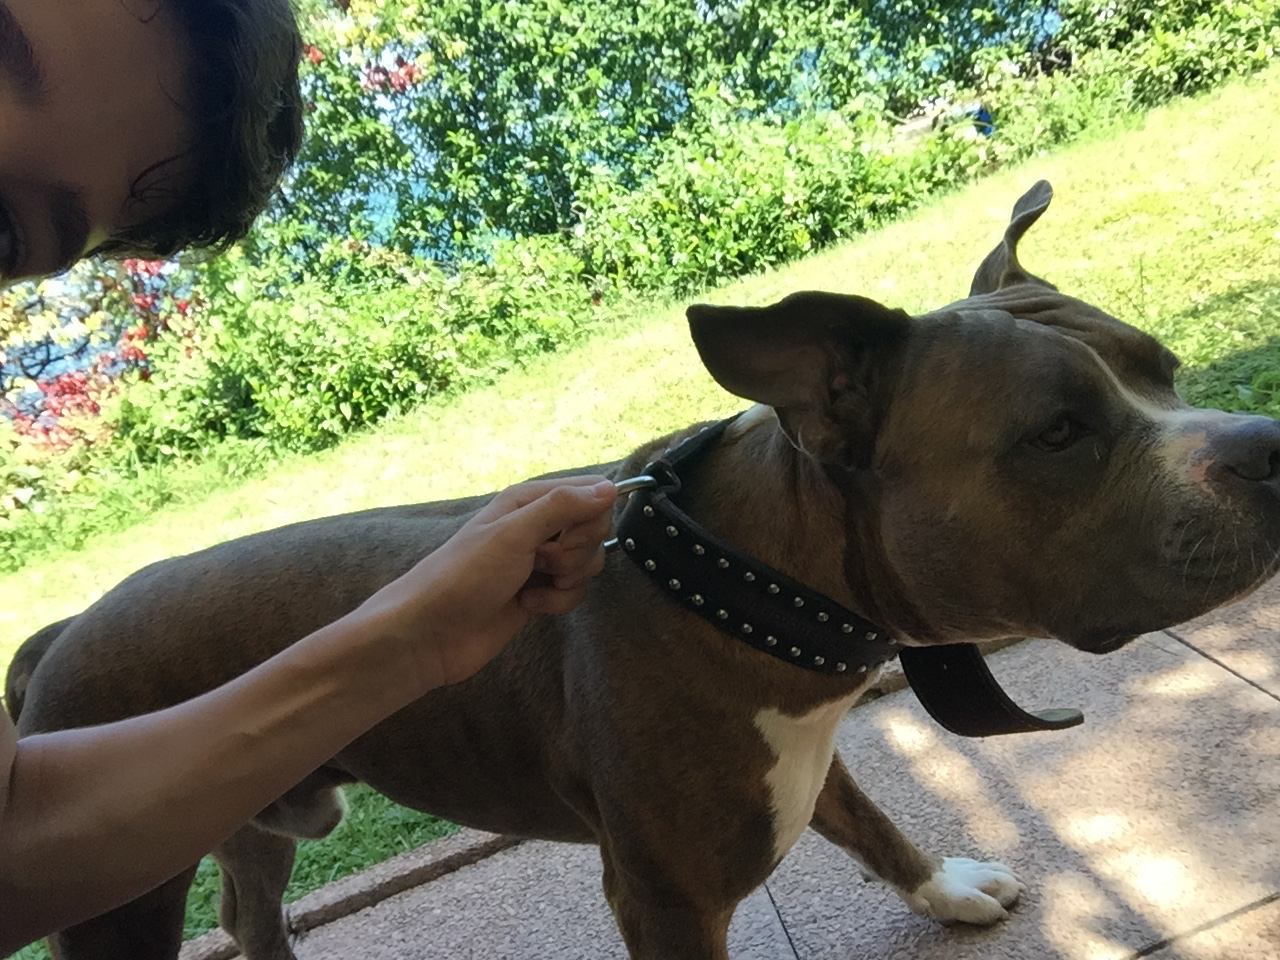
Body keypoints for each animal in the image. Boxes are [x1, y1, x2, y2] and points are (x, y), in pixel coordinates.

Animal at [10, 182, 1280, 960]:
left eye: (1161, 368)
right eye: (1056, 434)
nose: (1266, 444)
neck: (747, 578)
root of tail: (63, 629)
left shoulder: (799, 763)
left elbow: (872, 823)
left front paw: (946, 894)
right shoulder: (665, 901)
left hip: (248, 808)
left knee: (246, 906)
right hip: (125, 889)